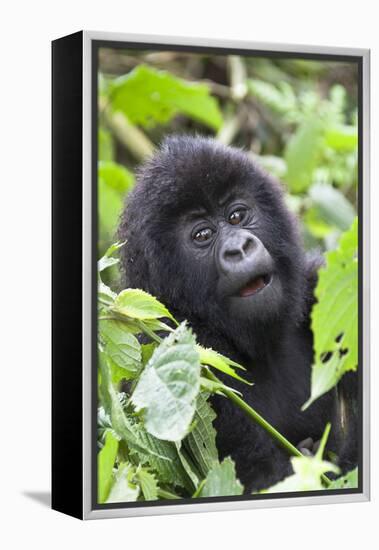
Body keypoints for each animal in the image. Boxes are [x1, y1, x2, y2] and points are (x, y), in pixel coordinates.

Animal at [119, 136, 360, 494]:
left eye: (236, 216)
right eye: (202, 236)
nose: (239, 248)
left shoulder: (323, 286)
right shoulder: (173, 343)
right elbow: (260, 475)